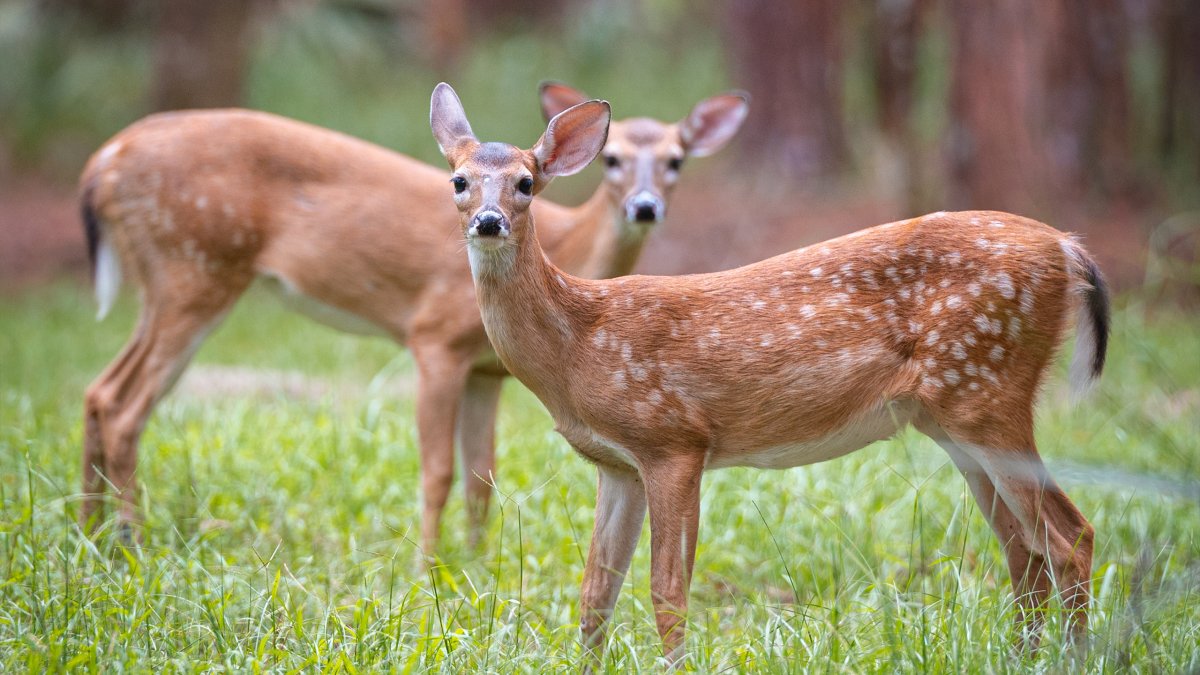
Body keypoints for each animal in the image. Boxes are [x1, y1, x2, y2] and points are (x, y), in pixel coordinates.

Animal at [75, 89, 744, 552]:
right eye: (613, 160)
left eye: (677, 161)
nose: (644, 207)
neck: (569, 250)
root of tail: (103, 160)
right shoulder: (434, 339)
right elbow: (438, 471)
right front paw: (427, 570)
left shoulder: (486, 370)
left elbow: (482, 474)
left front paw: (478, 565)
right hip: (195, 265)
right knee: (127, 405)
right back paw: (130, 541)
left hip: (170, 278)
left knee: (99, 389)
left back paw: (89, 536)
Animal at [429, 82, 1104, 662]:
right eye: (459, 180)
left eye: (525, 183)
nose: (488, 221)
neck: (579, 345)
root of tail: (1068, 248)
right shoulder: (617, 464)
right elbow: (596, 594)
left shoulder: (674, 440)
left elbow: (668, 592)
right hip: (953, 415)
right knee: (1025, 550)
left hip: (989, 389)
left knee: (1069, 538)